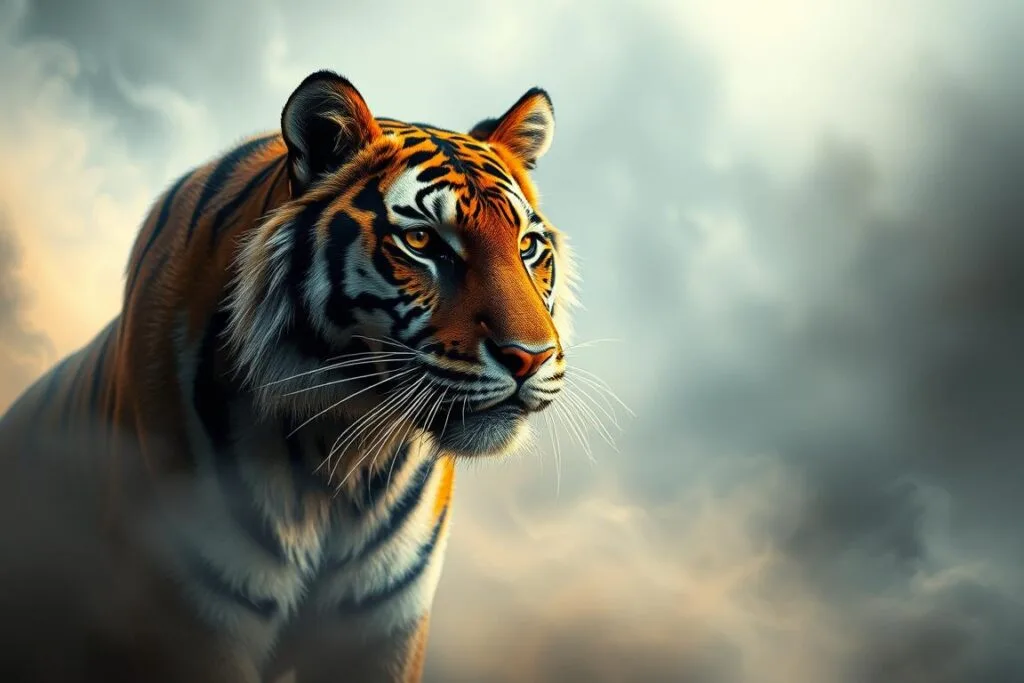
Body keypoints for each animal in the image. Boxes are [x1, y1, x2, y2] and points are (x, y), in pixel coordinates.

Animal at [0, 70, 577, 683]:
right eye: (422, 242)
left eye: (527, 246)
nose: (531, 357)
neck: (342, 456)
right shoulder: (191, 617)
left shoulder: (383, 625)